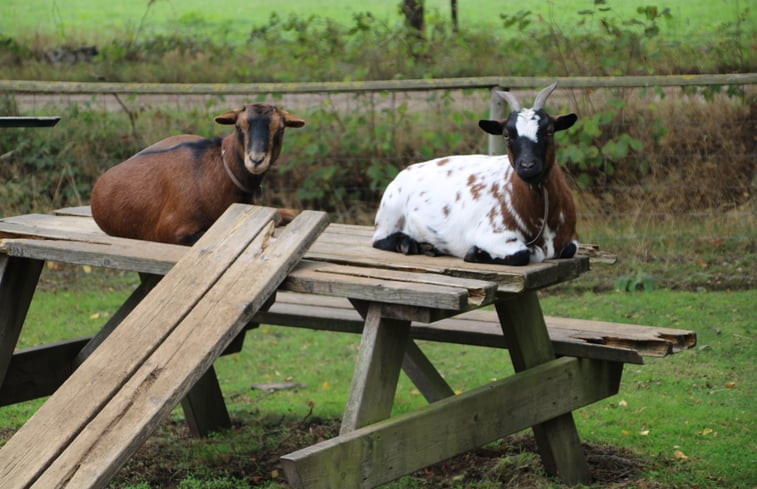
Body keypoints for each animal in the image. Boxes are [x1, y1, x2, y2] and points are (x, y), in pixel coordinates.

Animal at [372, 82, 580, 264]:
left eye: (550, 131)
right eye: (506, 134)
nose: (527, 165)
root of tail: (405, 171)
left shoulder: (570, 240)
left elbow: (570, 249)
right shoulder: (491, 234)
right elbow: (520, 255)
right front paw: (475, 253)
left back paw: (430, 247)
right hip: (390, 214)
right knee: (379, 240)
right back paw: (408, 244)